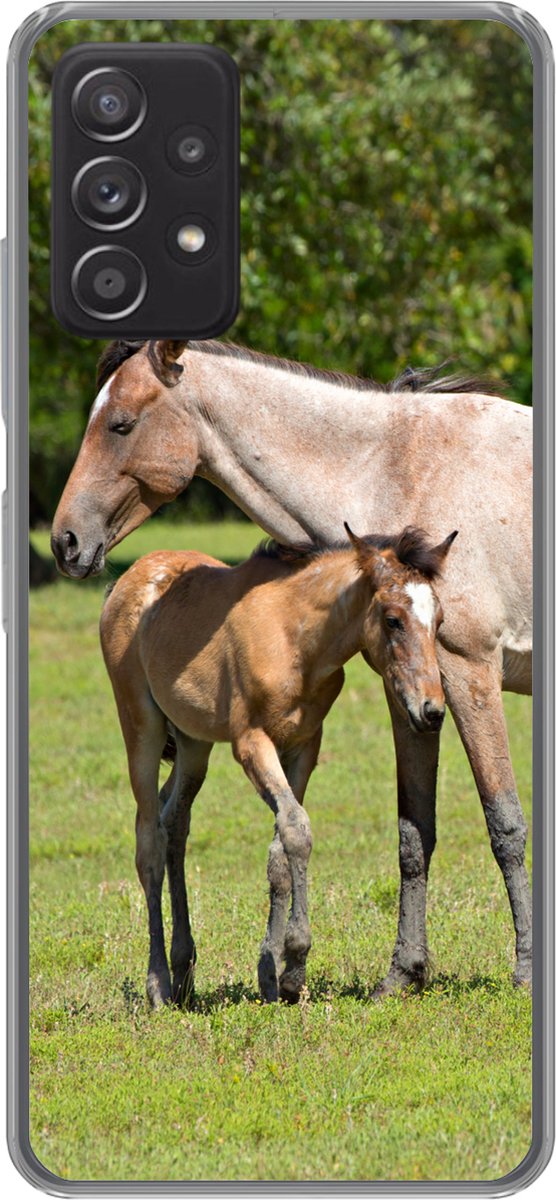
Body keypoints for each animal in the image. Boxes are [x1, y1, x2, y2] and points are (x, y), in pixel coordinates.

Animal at [100, 524, 456, 1007]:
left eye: (439, 622)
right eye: (393, 619)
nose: (431, 711)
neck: (296, 640)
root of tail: (126, 579)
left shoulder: (304, 745)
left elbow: (280, 851)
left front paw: (274, 975)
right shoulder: (252, 742)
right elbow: (297, 830)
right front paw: (296, 960)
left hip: (194, 743)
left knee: (175, 821)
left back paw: (184, 971)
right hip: (140, 725)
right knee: (148, 839)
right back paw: (158, 984)